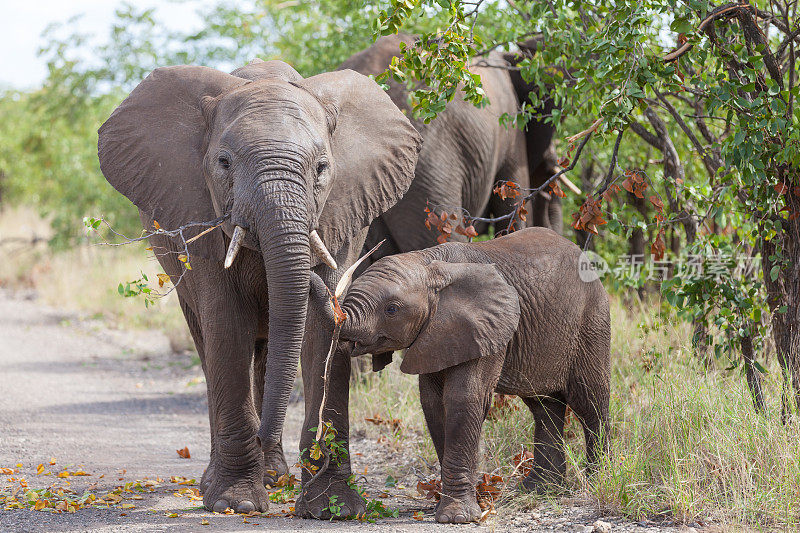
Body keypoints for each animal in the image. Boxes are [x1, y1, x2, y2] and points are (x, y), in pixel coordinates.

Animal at [97, 59, 422, 516]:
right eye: (224, 162)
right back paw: (229, 480)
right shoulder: (199, 212)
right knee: (208, 345)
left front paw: (333, 509)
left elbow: (322, 334)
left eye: (322, 168)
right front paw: (236, 503)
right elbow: (226, 326)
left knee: (268, 350)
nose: (260, 435)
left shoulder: (341, 213)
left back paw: (273, 476)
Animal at [340, 227, 608, 520]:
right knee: (544, 407)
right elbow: (433, 404)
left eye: (392, 309)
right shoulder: (436, 334)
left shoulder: (484, 328)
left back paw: (597, 480)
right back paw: (540, 490)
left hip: (591, 322)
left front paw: (456, 518)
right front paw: (448, 508)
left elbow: (464, 399)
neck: (428, 262)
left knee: (590, 402)